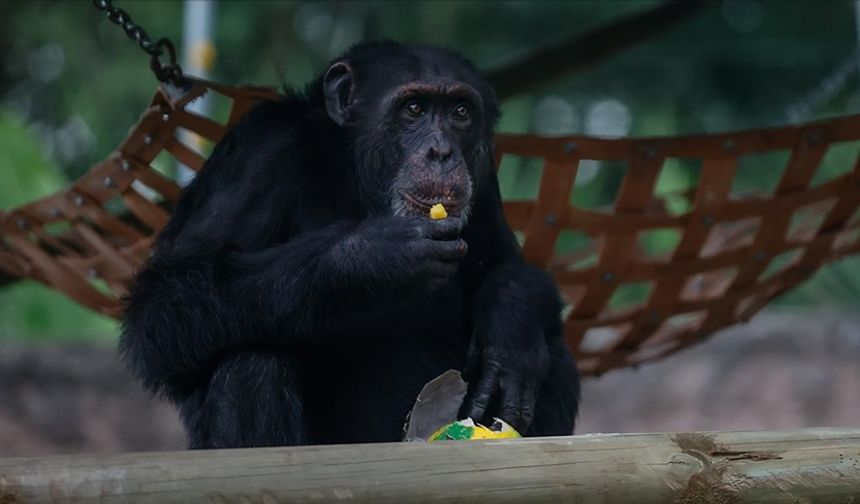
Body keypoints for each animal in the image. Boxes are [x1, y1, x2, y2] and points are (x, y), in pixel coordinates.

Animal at [119, 41, 576, 446]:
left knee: (552, 351)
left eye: (460, 112)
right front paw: (371, 258)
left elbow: (508, 265)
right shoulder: (258, 151)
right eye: (414, 109)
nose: (443, 151)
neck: (355, 172)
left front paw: (509, 325)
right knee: (249, 363)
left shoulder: (483, 179)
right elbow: (162, 302)